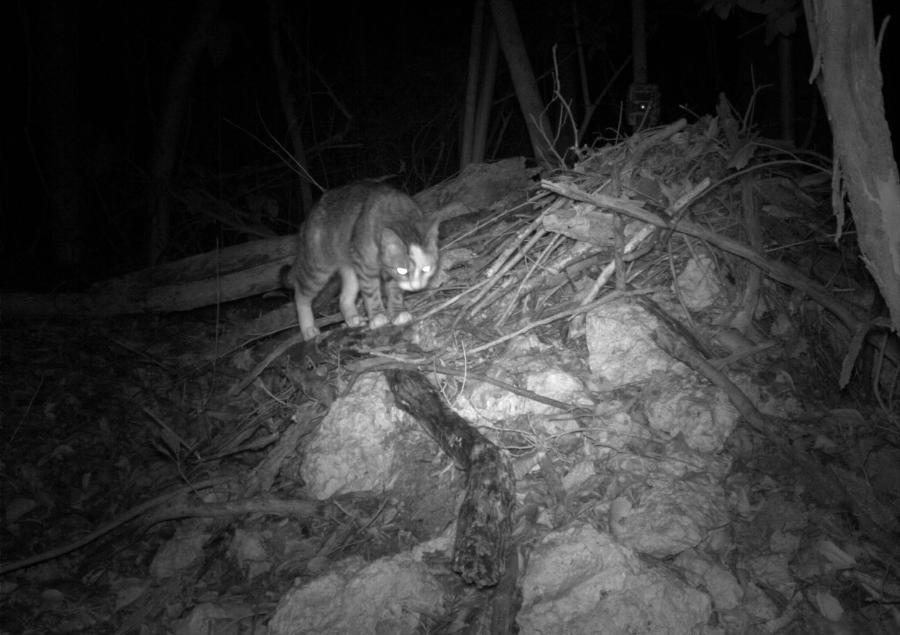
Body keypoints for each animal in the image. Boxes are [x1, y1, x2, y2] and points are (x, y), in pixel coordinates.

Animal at [282, 183, 436, 342]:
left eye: (426, 268)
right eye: (403, 270)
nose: (416, 287)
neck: (399, 214)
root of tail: (307, 221)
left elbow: (395, 292)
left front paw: (398, 312)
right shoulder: (366, 267)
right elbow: (372, 293)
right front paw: (378, 316)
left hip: (350, 269)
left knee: (343, 298)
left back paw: (352, 319)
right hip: (317, 269)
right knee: (300, 295)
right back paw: (308, 329)